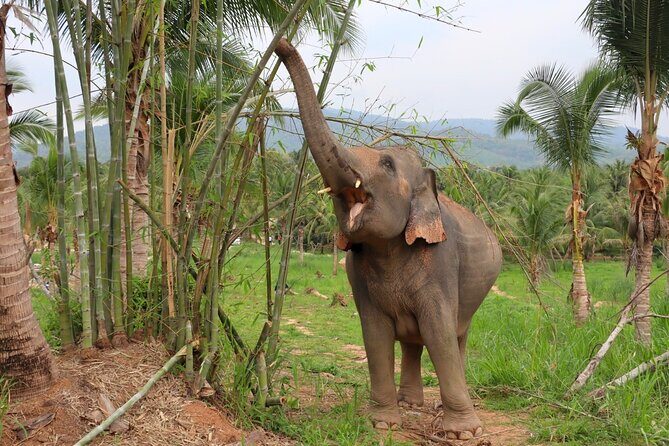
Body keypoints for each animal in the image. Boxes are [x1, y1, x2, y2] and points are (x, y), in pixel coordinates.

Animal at [274, 39, 502, 440]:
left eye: (387, 165)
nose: (279, 43)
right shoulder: (356, 274)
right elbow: (376, 334)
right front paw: (382, 422)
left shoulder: (442, 263)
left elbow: (439, 333)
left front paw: (463, 433)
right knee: (413, 341)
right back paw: (410, 404)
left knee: (456, 335)